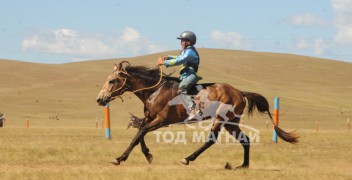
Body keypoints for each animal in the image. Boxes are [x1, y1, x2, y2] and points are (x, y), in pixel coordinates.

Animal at [97, 60, 300, 169]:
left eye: (112, 81)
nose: (100, 99)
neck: (154, 90)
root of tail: (240, 92)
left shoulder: (161, 120)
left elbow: (139, 133)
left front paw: (120, 158)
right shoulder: (149, 119)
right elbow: (139, 133)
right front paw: (147, 155)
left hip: (220, 120)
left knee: (211, 140)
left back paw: (188, 158)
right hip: (231, 123)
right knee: (246, 140)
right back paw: (243, 165)